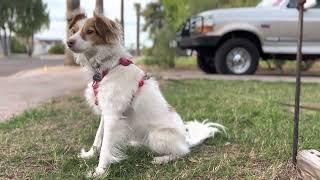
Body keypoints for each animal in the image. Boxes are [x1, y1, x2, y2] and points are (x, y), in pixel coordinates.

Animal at [67, 11, 225, 176]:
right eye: (74, 31)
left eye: (90, 31)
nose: (68, 42)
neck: (106, 68)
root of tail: (186, 139)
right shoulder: (106, 111)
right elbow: (98, 137)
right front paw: (90, 154)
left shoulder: (112, 115)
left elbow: (105, 146)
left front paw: (99, 171)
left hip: (157, 136)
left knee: (183, 152)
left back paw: (162, 159)